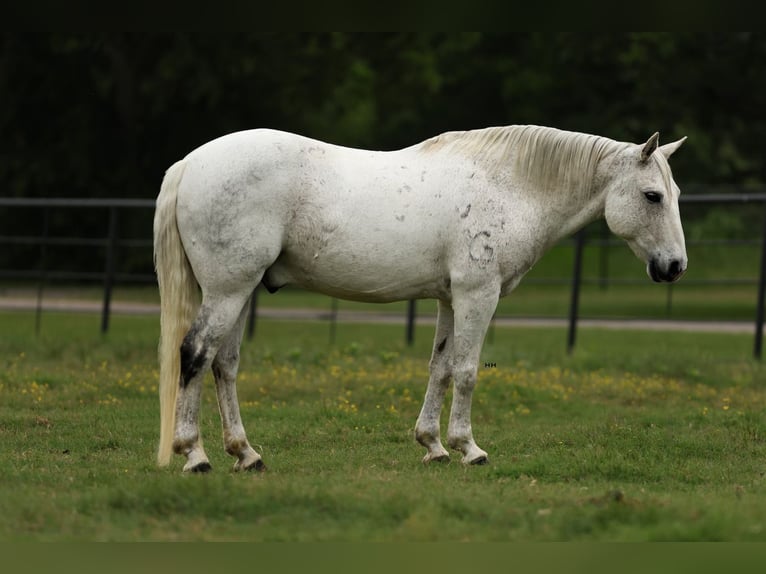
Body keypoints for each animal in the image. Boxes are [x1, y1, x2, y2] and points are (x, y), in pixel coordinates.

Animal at [153, 124, 687, 472]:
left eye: (674, 193)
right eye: (653, 196)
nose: (675, 267)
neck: (508, 185)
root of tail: (190, 163)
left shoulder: (450, 299)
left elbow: (441, 368)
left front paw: (432, 445)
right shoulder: (478, 295)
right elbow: (467, 372)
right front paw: (469, 448)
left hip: (239, 292)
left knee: (224, 365)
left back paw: (246, 454)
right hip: (227, 290)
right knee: (195, 354)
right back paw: (195, 455)